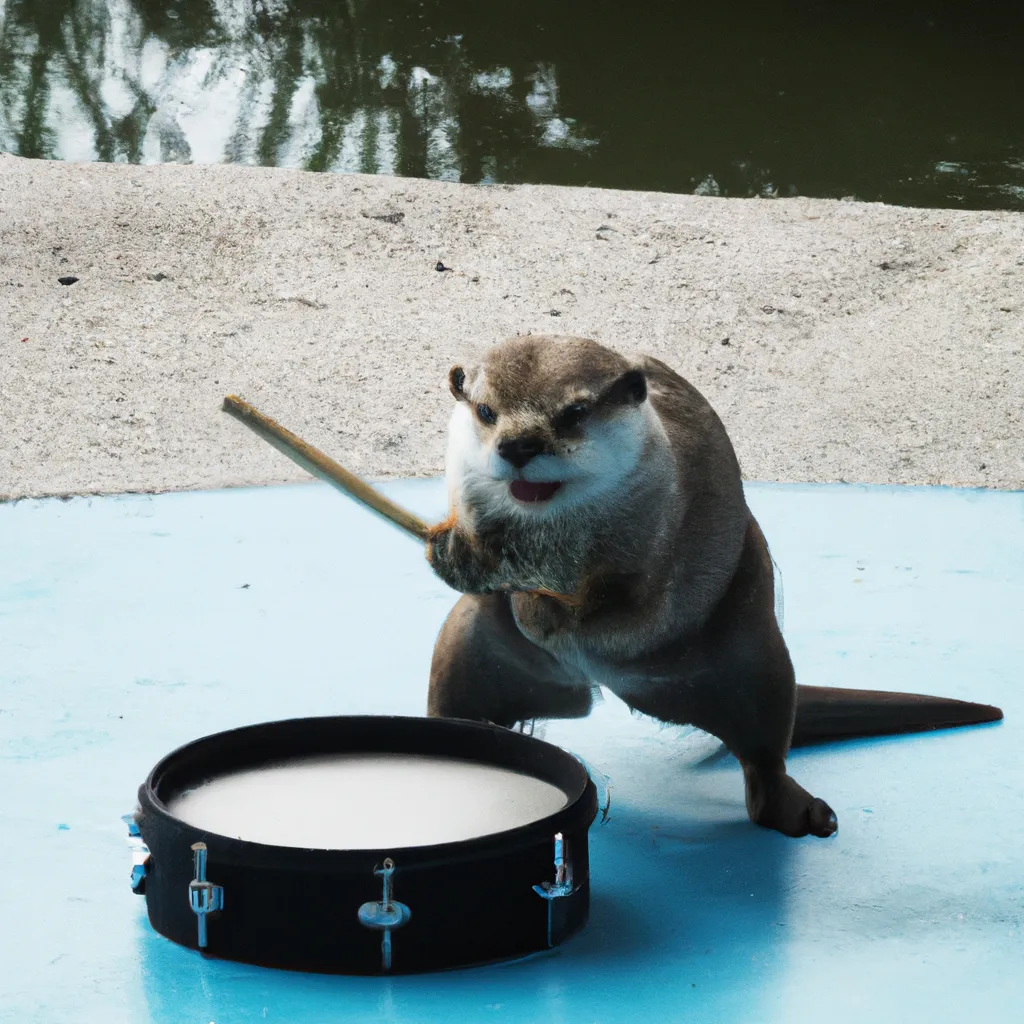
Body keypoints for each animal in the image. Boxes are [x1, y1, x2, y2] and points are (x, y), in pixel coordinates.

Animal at [421, 337, 999, 839]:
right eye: (486, 411)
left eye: (575, 412)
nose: (518, 445)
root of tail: (604, 687)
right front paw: (459, 556)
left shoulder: (667, 523)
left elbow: (634, 603)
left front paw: (551, 608)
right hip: (473, 644)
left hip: (753, 656)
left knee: (764, 752)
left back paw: (804, 814)